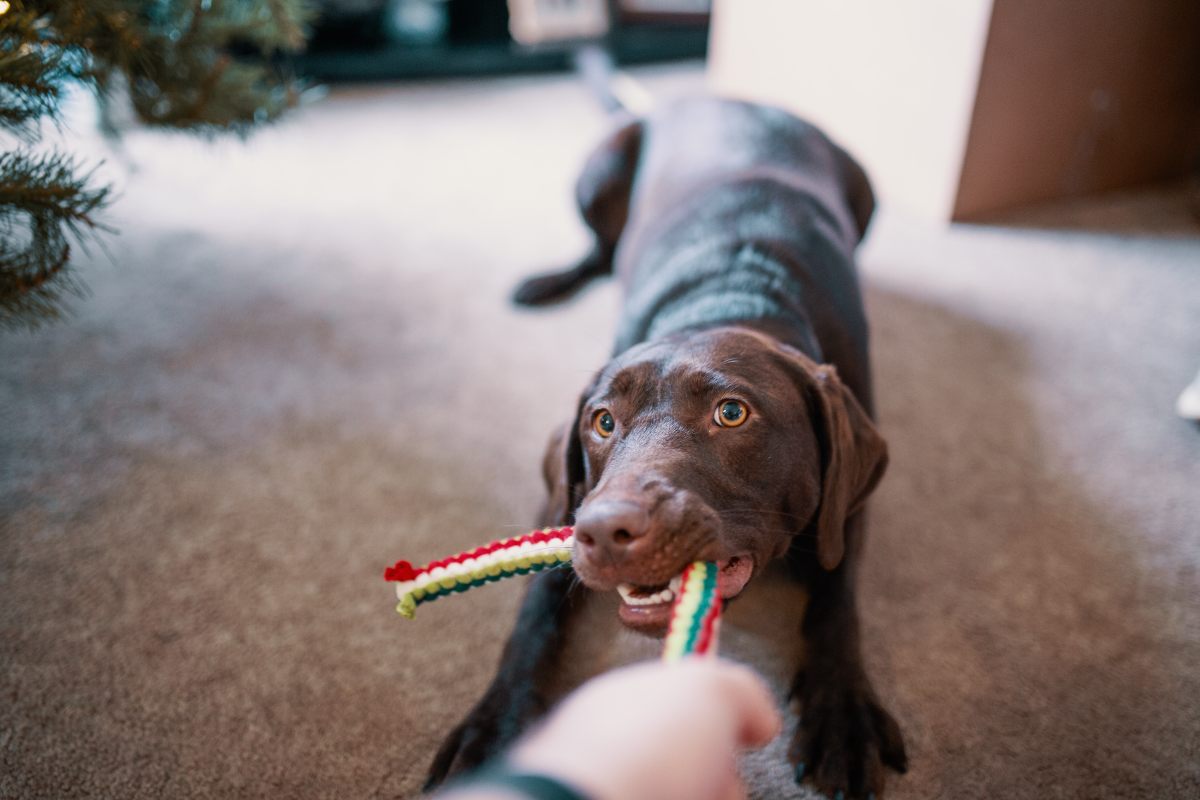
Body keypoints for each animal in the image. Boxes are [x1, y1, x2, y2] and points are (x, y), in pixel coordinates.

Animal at [427, 97, 902, 796]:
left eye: (731, 413)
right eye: (602, 422)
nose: (606, 531)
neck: (730, 296)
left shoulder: (848, 503)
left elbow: (836, 597)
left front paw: (841, 710)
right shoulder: (565, 501)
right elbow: (533, 612)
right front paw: (493, 726)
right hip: (599, 169)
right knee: (601, 251)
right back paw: (548, 281)